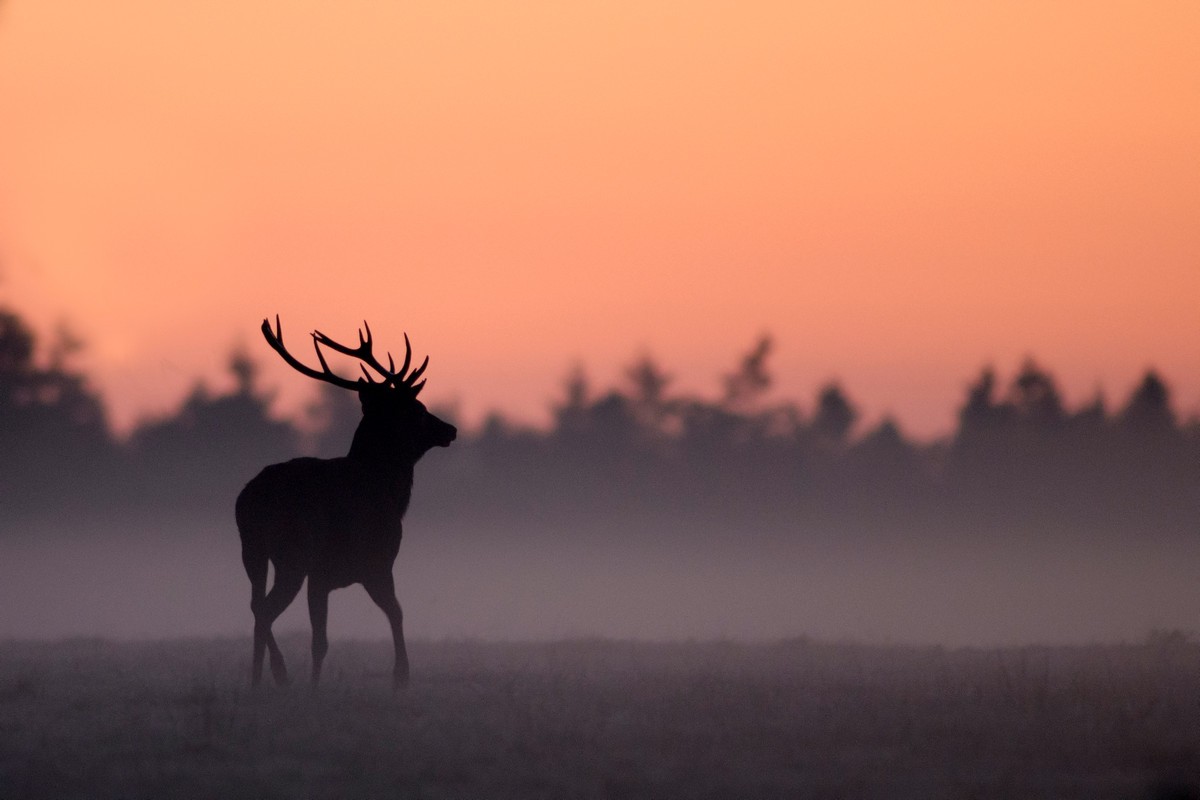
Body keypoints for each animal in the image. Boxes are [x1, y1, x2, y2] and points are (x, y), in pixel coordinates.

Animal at [234, 316, 453, 690]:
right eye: (418, 410)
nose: (450, 429)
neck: (388, 491)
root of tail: (248, 498)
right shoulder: (373, 561)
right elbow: (391, 613)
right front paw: (400, 676)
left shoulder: (329, 573)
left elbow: (323, 635)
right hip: (294, 554)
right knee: (264, 608)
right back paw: (276, 674)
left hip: (253, 550)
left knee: (255, 605)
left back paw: (261, 677)